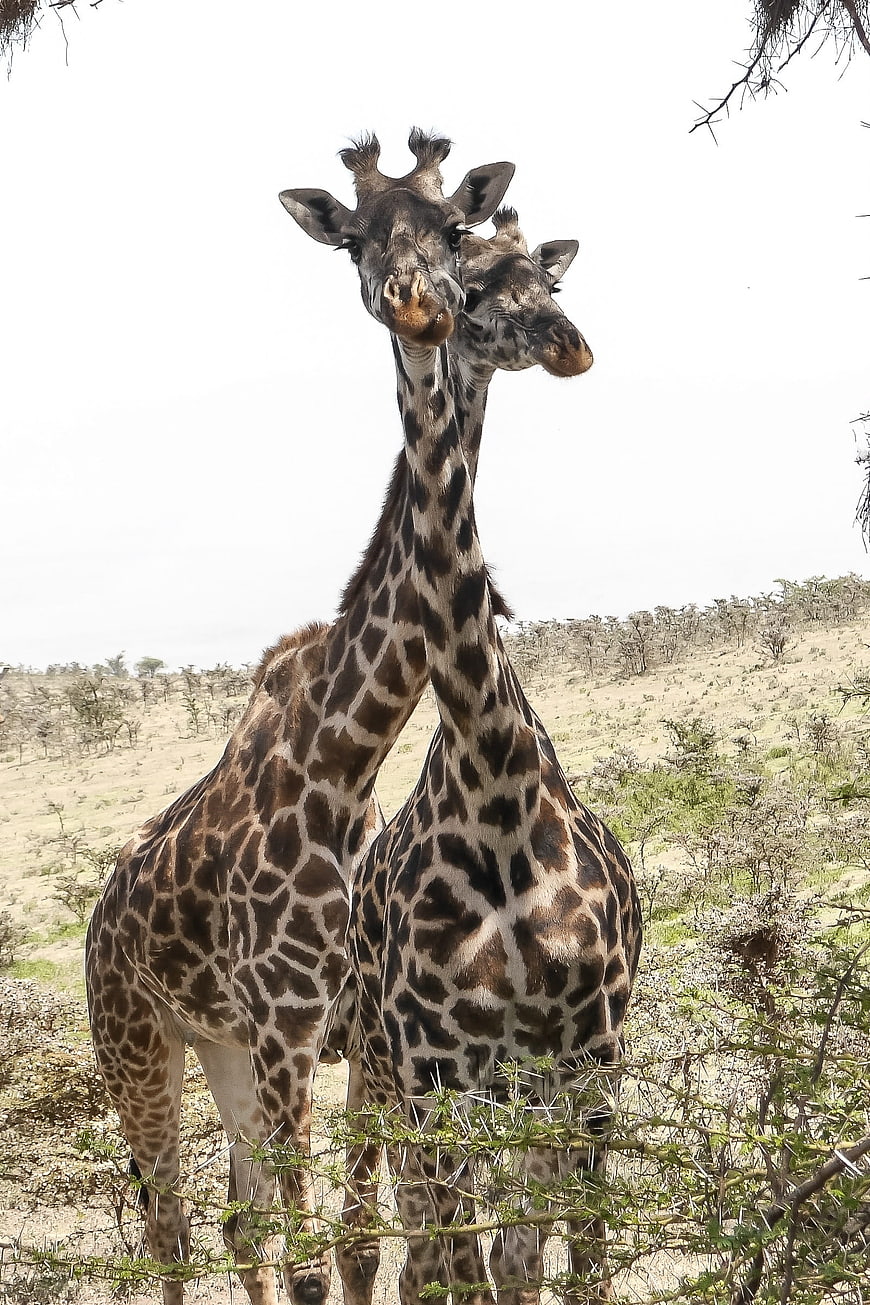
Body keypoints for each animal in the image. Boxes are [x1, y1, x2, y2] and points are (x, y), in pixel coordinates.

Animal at [85, 131, 514, 1305]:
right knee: (172, 1229)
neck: (344, 759)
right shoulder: (289, 1033)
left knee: (235, 1225)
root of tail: (94, 921)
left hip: (221, 1049)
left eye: (452, 227)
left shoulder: (361, 1039)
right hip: (137, 1044)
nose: (419, 302)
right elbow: (322, 1254)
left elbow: (364, 1245)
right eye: (353, 240)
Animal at [333, 212, 643, 1304]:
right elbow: (463, 1263)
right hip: (379, 1064)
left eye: (543, 280)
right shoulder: (440, 1072)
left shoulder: (583, 1055)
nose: (568, 342)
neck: (499, 784)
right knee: (384, 1237)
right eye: (468, 283)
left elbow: (550, 1259)